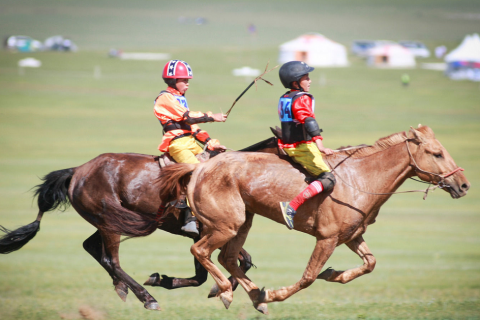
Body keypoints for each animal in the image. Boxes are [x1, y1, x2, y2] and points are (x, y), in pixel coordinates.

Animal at [0, 139, 282, 312]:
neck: (232, 177)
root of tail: (78, 170)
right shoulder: (209, 233)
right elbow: (219, 267)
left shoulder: (209, 235)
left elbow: (227, 265)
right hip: (110, 221)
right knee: (111, 259)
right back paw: (147, 298)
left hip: (107, 221)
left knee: (91, 247)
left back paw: (122, 286)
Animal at [157, 126, 468, 314]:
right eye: (437, 153)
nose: (463, 185)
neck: (360, 179)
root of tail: (199, 169)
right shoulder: (327, 239)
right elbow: (307, 277)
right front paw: (276, 293)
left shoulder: (352, 236)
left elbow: (369, 263)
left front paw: (333, 274)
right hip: (225, 226)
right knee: (201, 250)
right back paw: (227, 293)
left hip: (243, 222)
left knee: (227, 258)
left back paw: (255, 296)